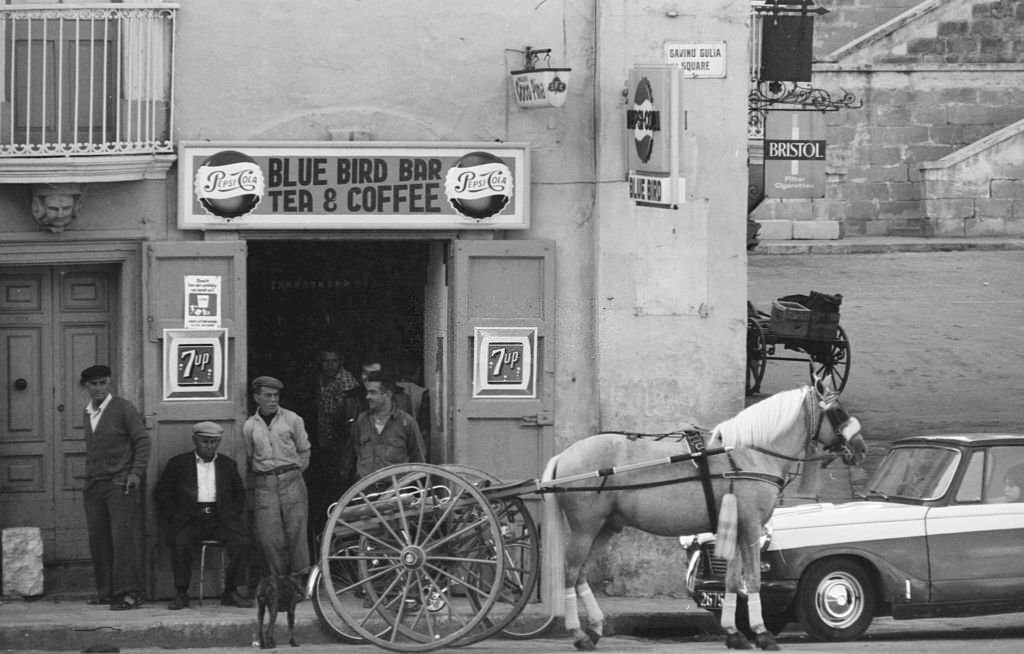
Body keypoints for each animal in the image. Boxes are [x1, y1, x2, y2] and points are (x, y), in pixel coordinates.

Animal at [540, 378, 868, 650]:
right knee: (571, 572)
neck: (749, 453)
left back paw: (594, 629)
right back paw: (578, 633)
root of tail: (564, 456)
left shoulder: (735, 528)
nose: (860, 448)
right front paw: (761, 633)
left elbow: (732, 581)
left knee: (581, 574)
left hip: (605, 527)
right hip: (585, 528)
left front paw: (734, 634)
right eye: (838, 411)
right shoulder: (751, 526)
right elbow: (752, 579)